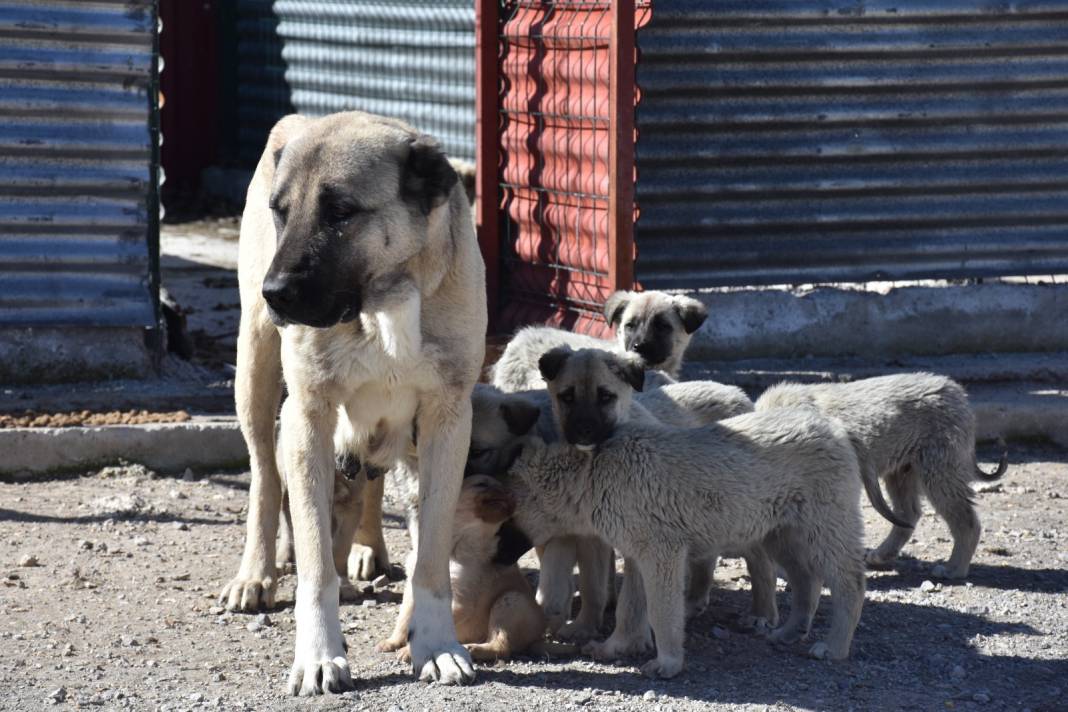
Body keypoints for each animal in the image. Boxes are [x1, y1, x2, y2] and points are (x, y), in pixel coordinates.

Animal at [218, 112, 487, 695]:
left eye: (341, 211)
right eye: (280, 211)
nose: (275, 292)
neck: (383, 298)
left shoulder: (447, 418)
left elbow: (431, 554)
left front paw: (435, 643)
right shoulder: (308, 415)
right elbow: (315, 563)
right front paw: (319, 656)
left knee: (370, 482)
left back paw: (367, 550)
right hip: (255, 373)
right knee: (265, 475)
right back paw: (257, 573)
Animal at [380, 476, 572, 666]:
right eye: (482, 484)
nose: (512, 494)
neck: (454, 545)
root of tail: (536, 640)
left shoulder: (462, 599)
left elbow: (431, 624)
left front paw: (409, 650)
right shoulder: (411, 590)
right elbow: (404, 619)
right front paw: (392, 642)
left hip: (511, 601)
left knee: (502, 648)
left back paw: (475, 649)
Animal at [510, 347, 867, 678]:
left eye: (605, 396)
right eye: (567, 397)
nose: (584, 431)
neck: (594, 469)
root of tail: (829, 426)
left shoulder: (662, 554)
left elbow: (661, 610)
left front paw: (667, 662)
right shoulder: (637, 554)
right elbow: (629, 608)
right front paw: (617, 646)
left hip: (825, 531)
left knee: (849, 583)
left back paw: (834, 646)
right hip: (781, 535)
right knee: (807, 581)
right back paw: (790, 632)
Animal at [756, 373, 1003, 580]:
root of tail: (957, 393)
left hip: (939, 472)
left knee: (966, 521)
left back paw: (954, 569)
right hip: (902, 472)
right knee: (908, 514)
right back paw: (882, 554)